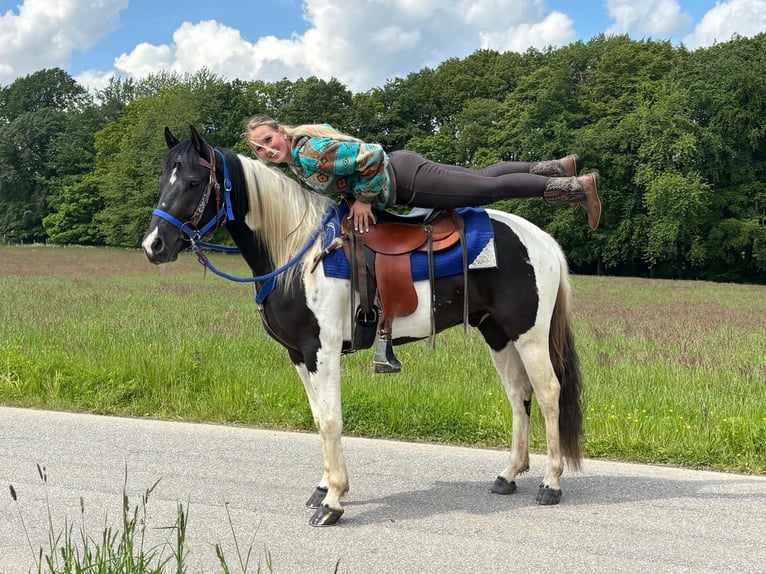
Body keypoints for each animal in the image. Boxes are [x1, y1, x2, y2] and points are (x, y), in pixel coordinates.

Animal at [142, 125, 584, 527]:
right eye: (163, 180)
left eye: (194, 182)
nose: (153, 245)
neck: (300, 254)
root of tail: (542, 239)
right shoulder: (298, 354)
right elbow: (318, 417)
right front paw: (323, 487)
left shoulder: (322, 350)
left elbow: (331, 420)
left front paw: (333, 501)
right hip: (497, 333)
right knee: (518, 394)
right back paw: (508, 476)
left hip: (529, 334)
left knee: (548, 392)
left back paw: (551, 483)